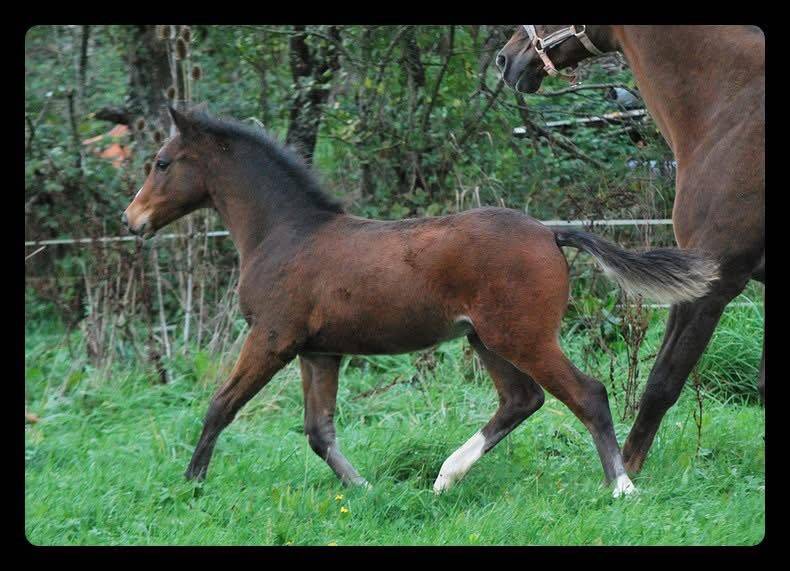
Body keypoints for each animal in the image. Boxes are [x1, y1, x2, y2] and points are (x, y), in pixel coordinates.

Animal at [122, 106, 718, 497]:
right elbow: (319, 432)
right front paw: (364, 489)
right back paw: (446, 476)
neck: (285, 233)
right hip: (487, 339)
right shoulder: (320, 351)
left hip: (520, 336)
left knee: (586, 394)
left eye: (161, 162)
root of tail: (551, 233)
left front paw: (190, 486)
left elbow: (220, 406)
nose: (132, 221)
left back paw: (621, 488)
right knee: (521, 400)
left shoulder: (272, 338)